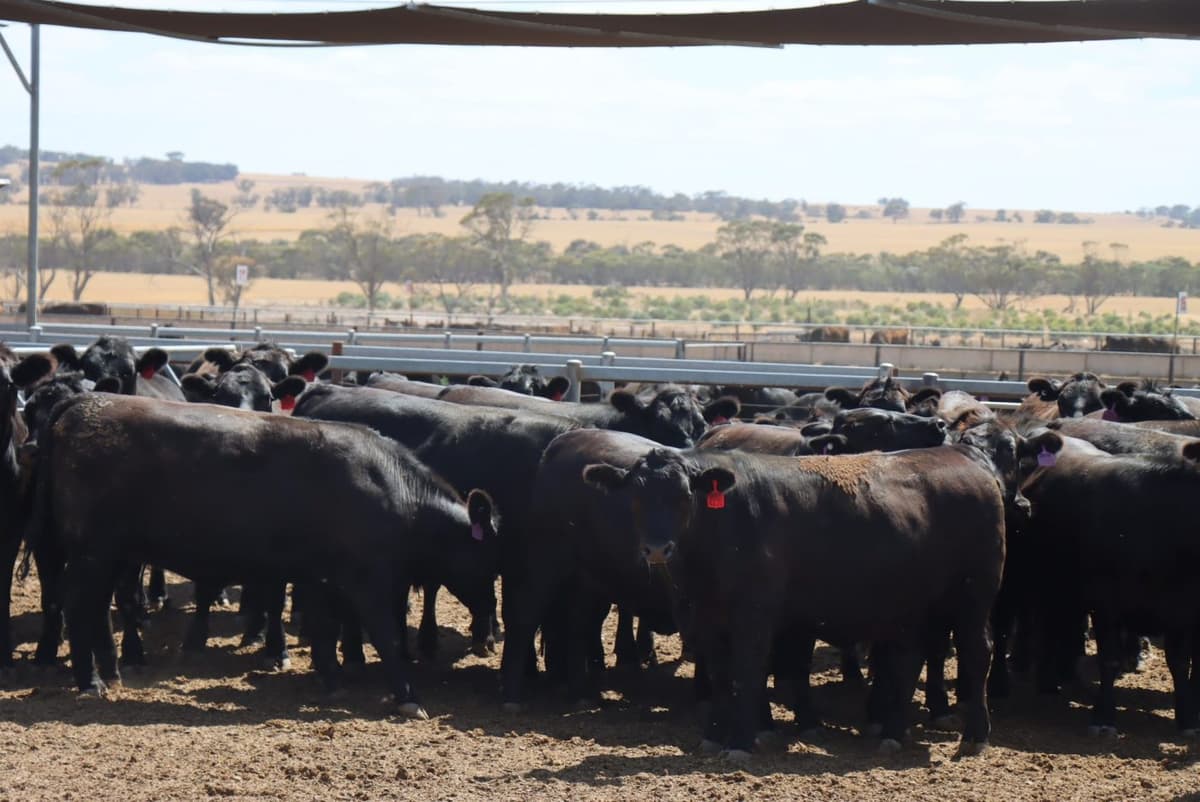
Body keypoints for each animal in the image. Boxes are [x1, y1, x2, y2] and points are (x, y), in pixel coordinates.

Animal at [25, 393, 499, 713]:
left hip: (113, 553)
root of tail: (86, 402)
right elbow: (387, 636)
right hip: (93, 551)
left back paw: (111, 673)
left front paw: (332, 678)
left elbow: (325, 633)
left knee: (97, 608)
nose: (491, 628)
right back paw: (90, 682)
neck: (394, 490)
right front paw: (407, 696)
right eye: (492, 561)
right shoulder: (368, 581)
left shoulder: (321, 577)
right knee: (78, 605)